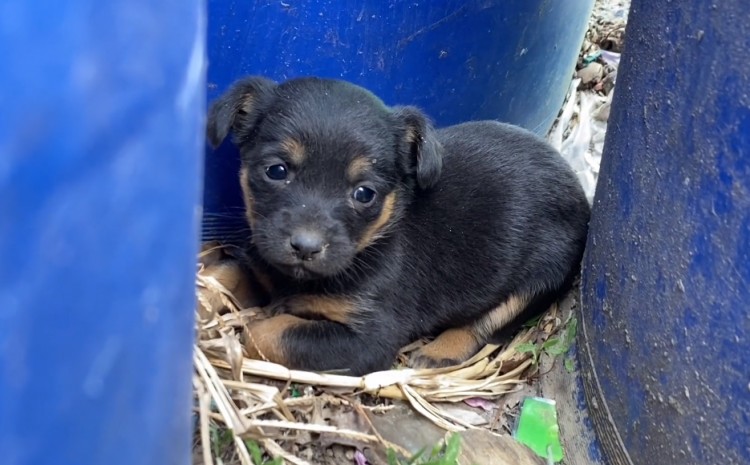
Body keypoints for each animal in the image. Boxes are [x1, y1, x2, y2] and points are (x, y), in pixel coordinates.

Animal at [207, 75, 592, 374]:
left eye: (364, 194)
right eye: (276, 171)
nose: (305, 247)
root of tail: (579, 190)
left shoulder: (370, 339)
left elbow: (265, 333)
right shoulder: (261, 266)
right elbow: (222, 275)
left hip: (537, 278)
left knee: (486, 325)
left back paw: (438, 352)